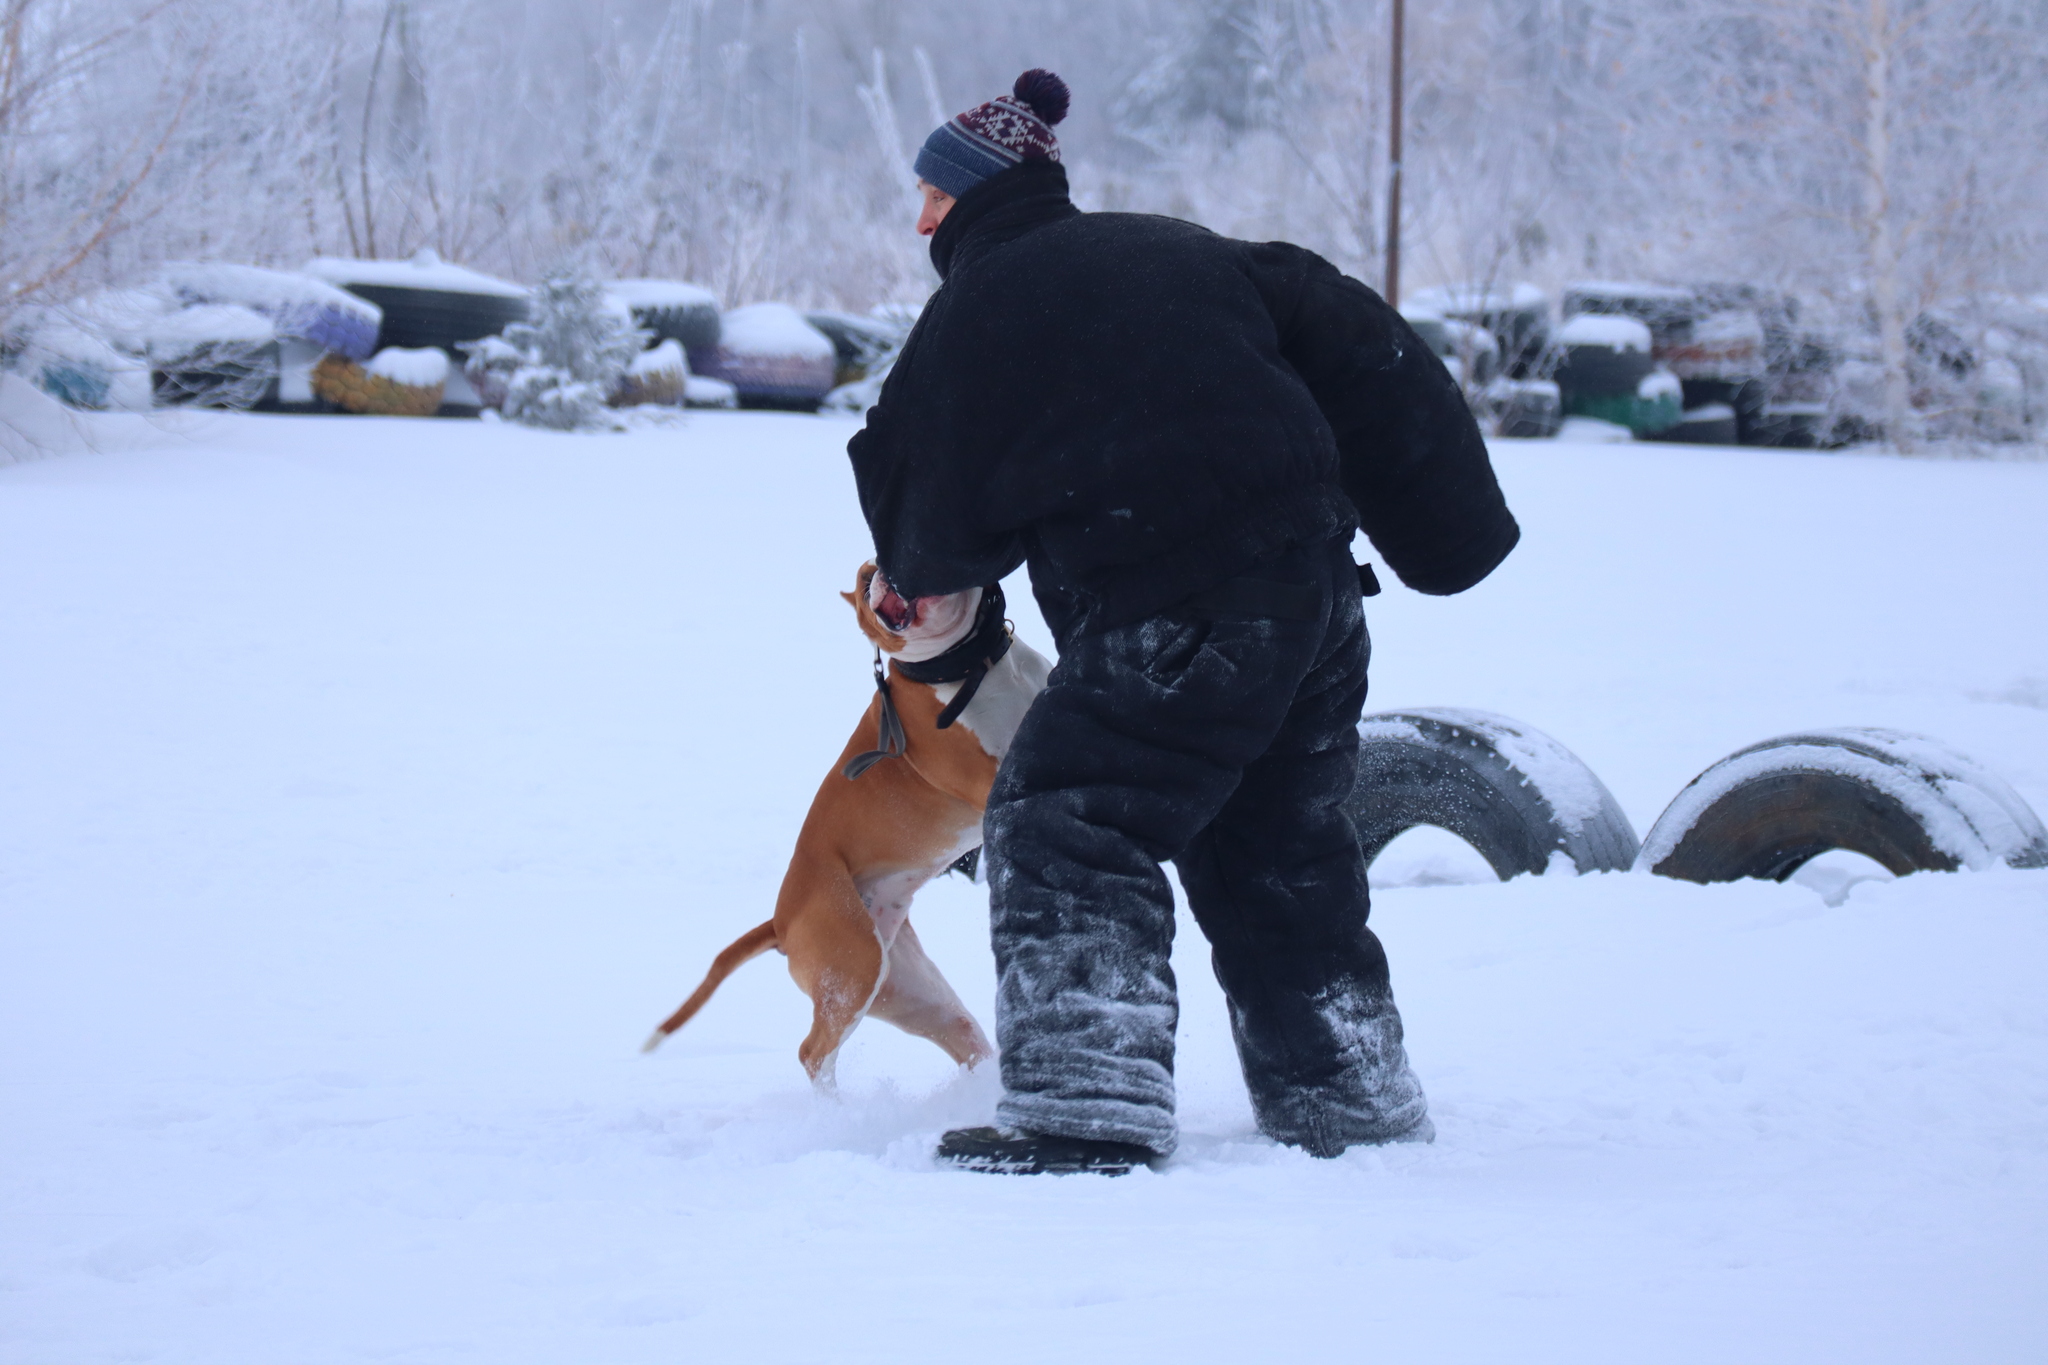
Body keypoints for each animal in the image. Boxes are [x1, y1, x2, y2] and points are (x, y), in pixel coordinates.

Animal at [643, 560, 1056, 1080]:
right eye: (865, 581)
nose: (884, 569)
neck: (973, 665)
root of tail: (780, 921)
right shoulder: (990, 777)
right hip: (854, 967)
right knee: (813, 1051)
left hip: (911, 991)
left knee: (963, 1036)